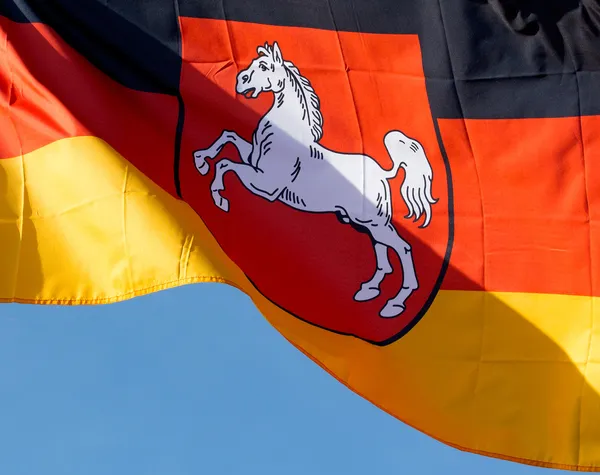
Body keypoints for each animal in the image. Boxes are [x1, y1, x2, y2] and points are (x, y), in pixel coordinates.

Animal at [192, 42, 436, 318]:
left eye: (264, 66)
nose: (240, 81)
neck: (285, 136)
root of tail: (383, 172)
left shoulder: (265, 185)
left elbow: (225, 164)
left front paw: (219, 198)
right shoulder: (253, 162)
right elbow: (228, 136)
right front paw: (201, 160)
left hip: (373, 222)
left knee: (402, 248)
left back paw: (395, 304)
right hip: (365, 222)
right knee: (383, 253)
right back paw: (368, 290)